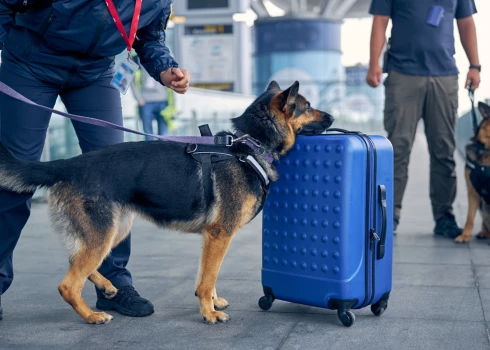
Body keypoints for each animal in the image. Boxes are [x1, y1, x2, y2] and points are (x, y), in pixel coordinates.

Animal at [0, 80, 334, 324]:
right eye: (307, 107)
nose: (332, 116)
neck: (249, 144)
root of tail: (66, 164)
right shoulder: (220, 235)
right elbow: (209, 277)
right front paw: (209, 313)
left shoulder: (211, 239)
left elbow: (206, 276)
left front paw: (211, 301)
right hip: (103, 234)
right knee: (68, 284)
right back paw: (92, 316)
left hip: (114, 230)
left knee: (76, 262)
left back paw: (107, 287)